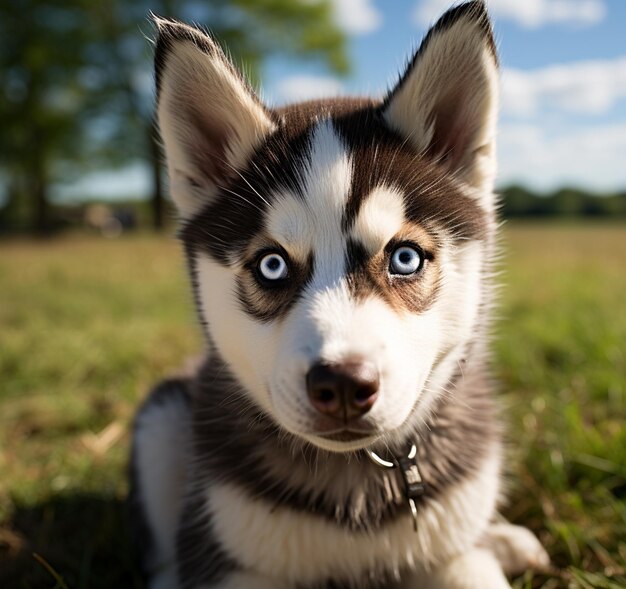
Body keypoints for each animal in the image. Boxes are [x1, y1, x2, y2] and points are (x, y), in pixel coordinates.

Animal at [129, 2, 548, 584]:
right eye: (272, 265)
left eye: (405, 258)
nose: (344, 385)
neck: (358, 474)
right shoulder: (237, 558)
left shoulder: (457, 552)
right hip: (163, 420)